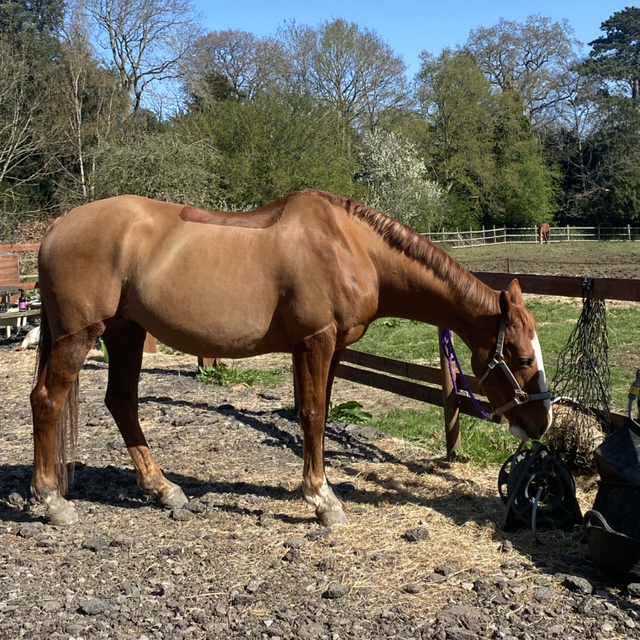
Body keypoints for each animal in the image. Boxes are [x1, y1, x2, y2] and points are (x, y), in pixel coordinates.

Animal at [30, 189, 552, 527]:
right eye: (522, 358)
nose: (540, 424)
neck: (351, 246)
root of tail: (57, 226)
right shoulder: (314, 341)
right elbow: (313, 414)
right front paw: (322, 500)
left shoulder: (333, 347)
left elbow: (318, 412)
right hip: (81, 335)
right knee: (47, 401)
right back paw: (52, 501)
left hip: (125, 331)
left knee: (121, 402)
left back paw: (163, 490)